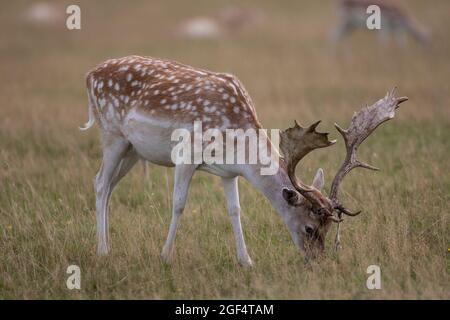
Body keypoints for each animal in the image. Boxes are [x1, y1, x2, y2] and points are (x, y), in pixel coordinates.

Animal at [80, 55, 408, 264]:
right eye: (309, 228)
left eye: (329, 229)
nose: (317, 261)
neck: (236, 144)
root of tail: (89, 74)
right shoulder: (187, 153)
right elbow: (179, 204)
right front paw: (164, 257)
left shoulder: (228, 172)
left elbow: (235, 210)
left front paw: (245, 260)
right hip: (112, 134)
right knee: (99, 182)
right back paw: (102, 251)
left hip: (133, 150)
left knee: (108, 186)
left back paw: (105, 246)